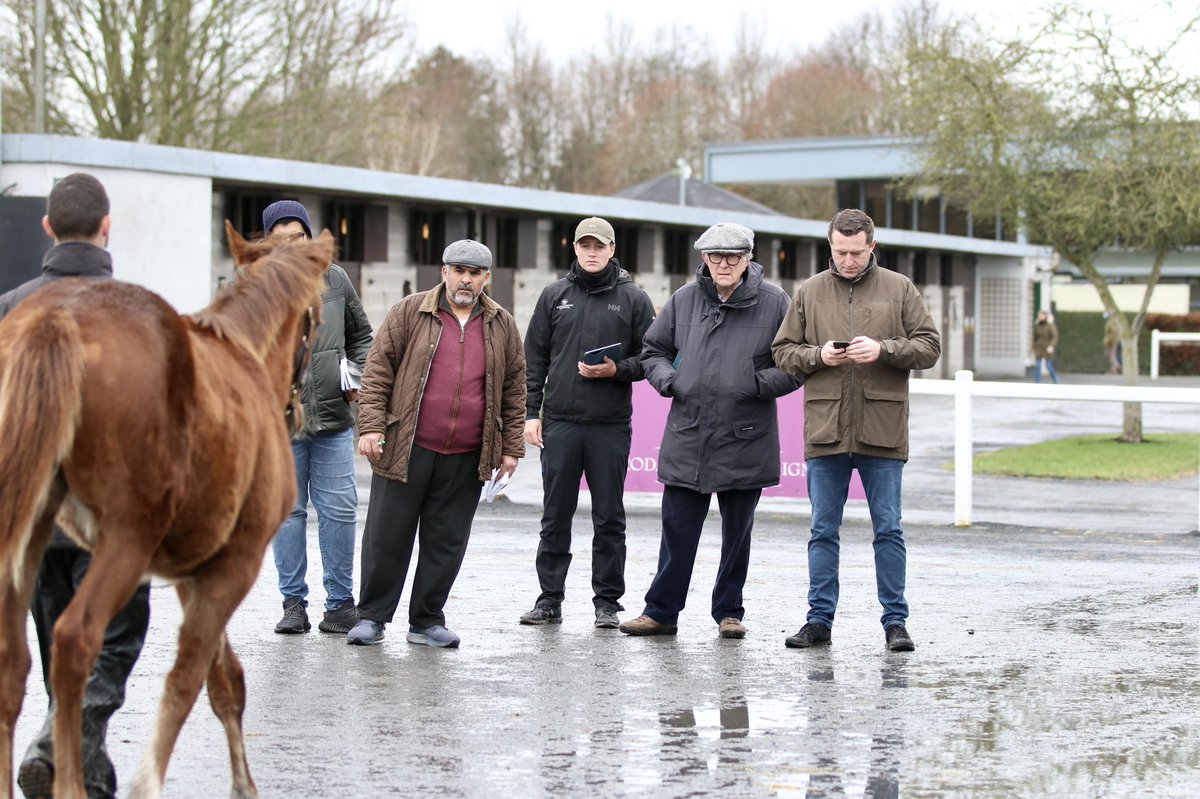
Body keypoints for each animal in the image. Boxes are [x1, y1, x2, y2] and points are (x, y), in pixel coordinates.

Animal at [0, 220, 333, 791]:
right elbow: (188, 676)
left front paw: (243, 784)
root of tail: (56, 315)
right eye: (316, 314)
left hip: (30, 532)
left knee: (12, 661)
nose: (296, 409)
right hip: (126, 539)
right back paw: (69, 782)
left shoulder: (191, 572)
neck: (241, 352)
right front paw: (148, 782)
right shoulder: (236, 564)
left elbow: (225, 681)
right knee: (74, 641)